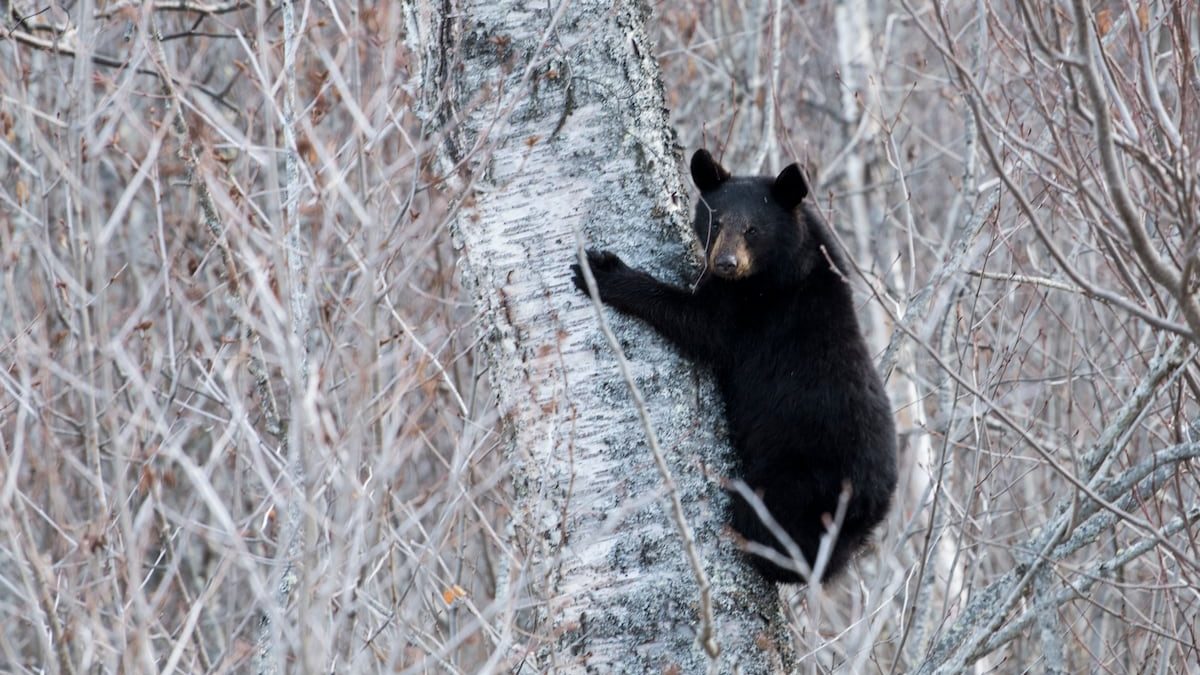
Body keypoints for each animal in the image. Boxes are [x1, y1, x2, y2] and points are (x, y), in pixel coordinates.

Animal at [570, 149, 898, 584]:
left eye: (753, 229)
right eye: (716, 221)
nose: (725, 262)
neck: (786, 266)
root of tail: (873, 504)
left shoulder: (756, 311)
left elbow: (701, 326)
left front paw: (603, 271)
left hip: (797, 481)